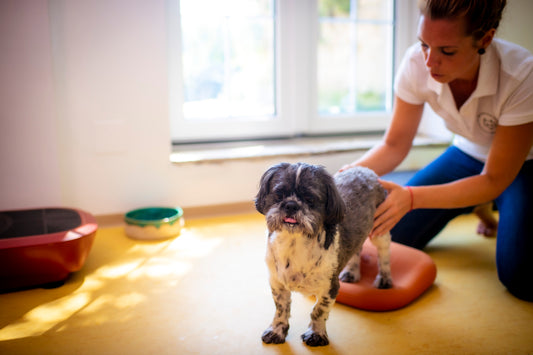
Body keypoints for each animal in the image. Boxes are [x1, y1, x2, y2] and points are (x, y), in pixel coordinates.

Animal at [254, 163, 390, 348]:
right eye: (279, 193)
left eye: (310, 198)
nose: (291, 205)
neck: (294, 243)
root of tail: (365, 170)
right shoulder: (278, 284)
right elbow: (281, 309)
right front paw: (277, 331)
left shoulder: (329, 287)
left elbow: (318, 311)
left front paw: (316, 334)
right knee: (356, 250)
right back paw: (352, 272)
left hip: (380, 230)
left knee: (384, 255)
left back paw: (384, 278)